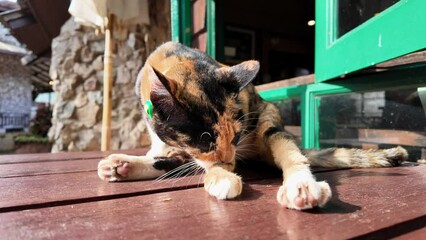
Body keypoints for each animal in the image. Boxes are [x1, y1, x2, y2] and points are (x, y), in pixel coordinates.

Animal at [98, 41, 408, 210]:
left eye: (235, 137)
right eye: (205, 139)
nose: (229, 158)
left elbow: (203, 165)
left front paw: (221, 177)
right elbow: (174, 155)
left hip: (270, 120)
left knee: (291, 154)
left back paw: (301, 188)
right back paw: (121, 165)